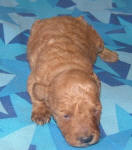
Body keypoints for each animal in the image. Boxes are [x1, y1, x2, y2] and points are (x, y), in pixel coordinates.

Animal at [26, 15, 117, 147]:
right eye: (66, 115)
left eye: (95, 110)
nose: (86, 139)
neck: (66, 66)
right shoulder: (34, 78)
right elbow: (35, 94)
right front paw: (41, 112)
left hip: (95, 37)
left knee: (101, 47)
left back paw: (110, 55)